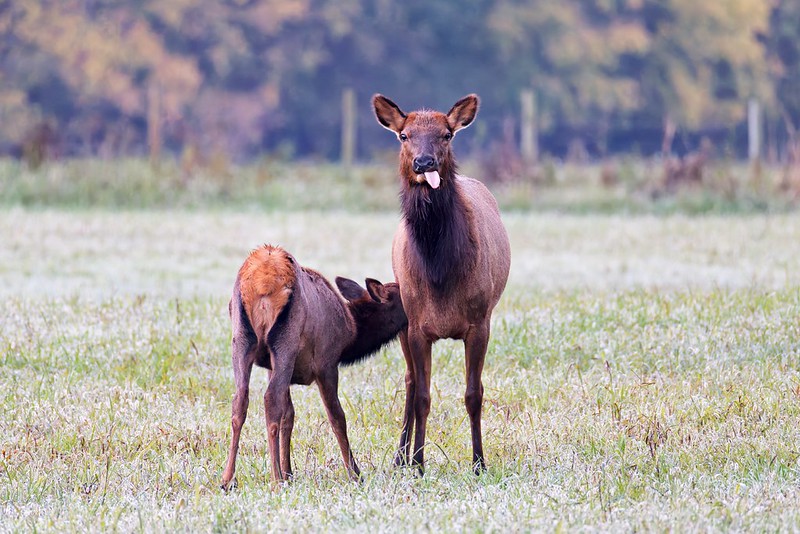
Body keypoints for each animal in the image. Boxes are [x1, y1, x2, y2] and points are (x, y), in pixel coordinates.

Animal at [220, 244, 407, 490]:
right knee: (270, 399)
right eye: (404, 297)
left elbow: (289, 415)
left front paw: (289, 471)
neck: (352, 335)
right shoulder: (327, 363)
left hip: (241, 338)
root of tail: (262, 282)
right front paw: (355, 473)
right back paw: (274, 478)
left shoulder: (271, 366)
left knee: (240, 399)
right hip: (285, 341)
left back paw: (227, 479)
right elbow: (337, 417)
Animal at [372, 94, 511, 475]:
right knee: (409, 380)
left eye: (447, 134)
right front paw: (419, 464)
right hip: (403, 321)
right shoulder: (417, 325)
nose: (424, 162)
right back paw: (400, 457)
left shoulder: (480, 322)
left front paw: (479, 462)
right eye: (404, 135)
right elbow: (422, 395)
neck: (439, 270)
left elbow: (473, 394)